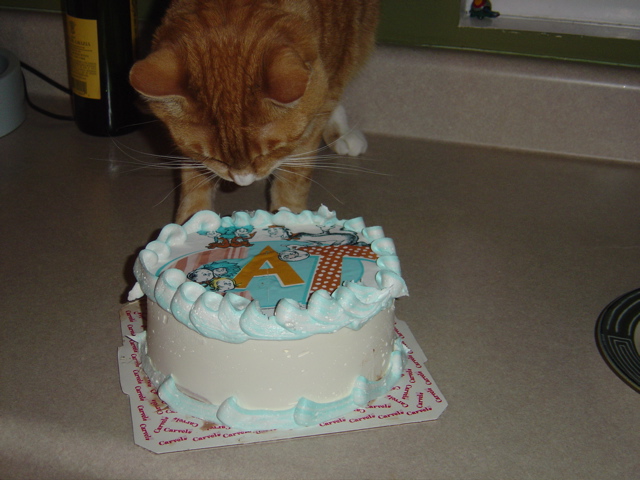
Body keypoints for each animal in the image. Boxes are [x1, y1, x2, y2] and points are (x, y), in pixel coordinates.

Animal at [129, 0, 379, 223]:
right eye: (213, 158)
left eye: (269, 152)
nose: (243, 181)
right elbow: (194, 180)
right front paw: (190, 220)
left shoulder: (310, 125)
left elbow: (293, 178)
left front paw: (289, 216)